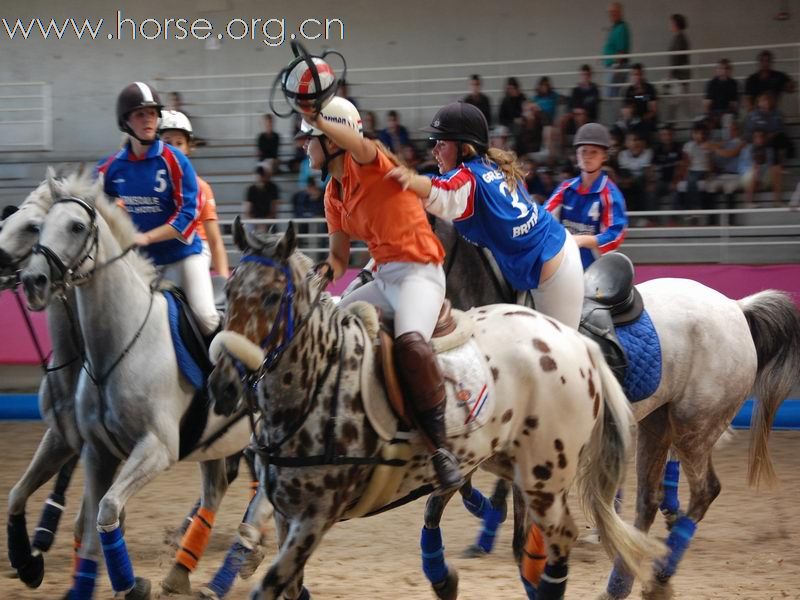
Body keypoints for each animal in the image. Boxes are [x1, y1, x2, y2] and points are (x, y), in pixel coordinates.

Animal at [202, 219, 664, 600]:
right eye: (229, 292)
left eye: (271, 297)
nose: (223, 386)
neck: (317, 382)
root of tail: (577, 342)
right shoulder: (289, 515)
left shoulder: (316, 516)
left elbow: (271, 585)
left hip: (548, 471)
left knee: (564, 531)